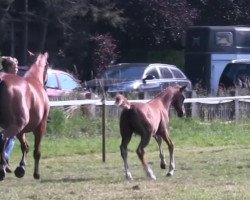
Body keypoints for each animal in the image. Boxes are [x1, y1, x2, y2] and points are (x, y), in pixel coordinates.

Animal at [0, 52, 49, 180]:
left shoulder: (21, 131)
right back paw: (2, 168)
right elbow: (37, 151)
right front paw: (36, 174)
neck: (34, 80)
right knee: (2, 138)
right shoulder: (41, 126)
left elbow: (25, 147)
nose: (46, 83)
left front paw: (21, 168)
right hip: (16, 125)